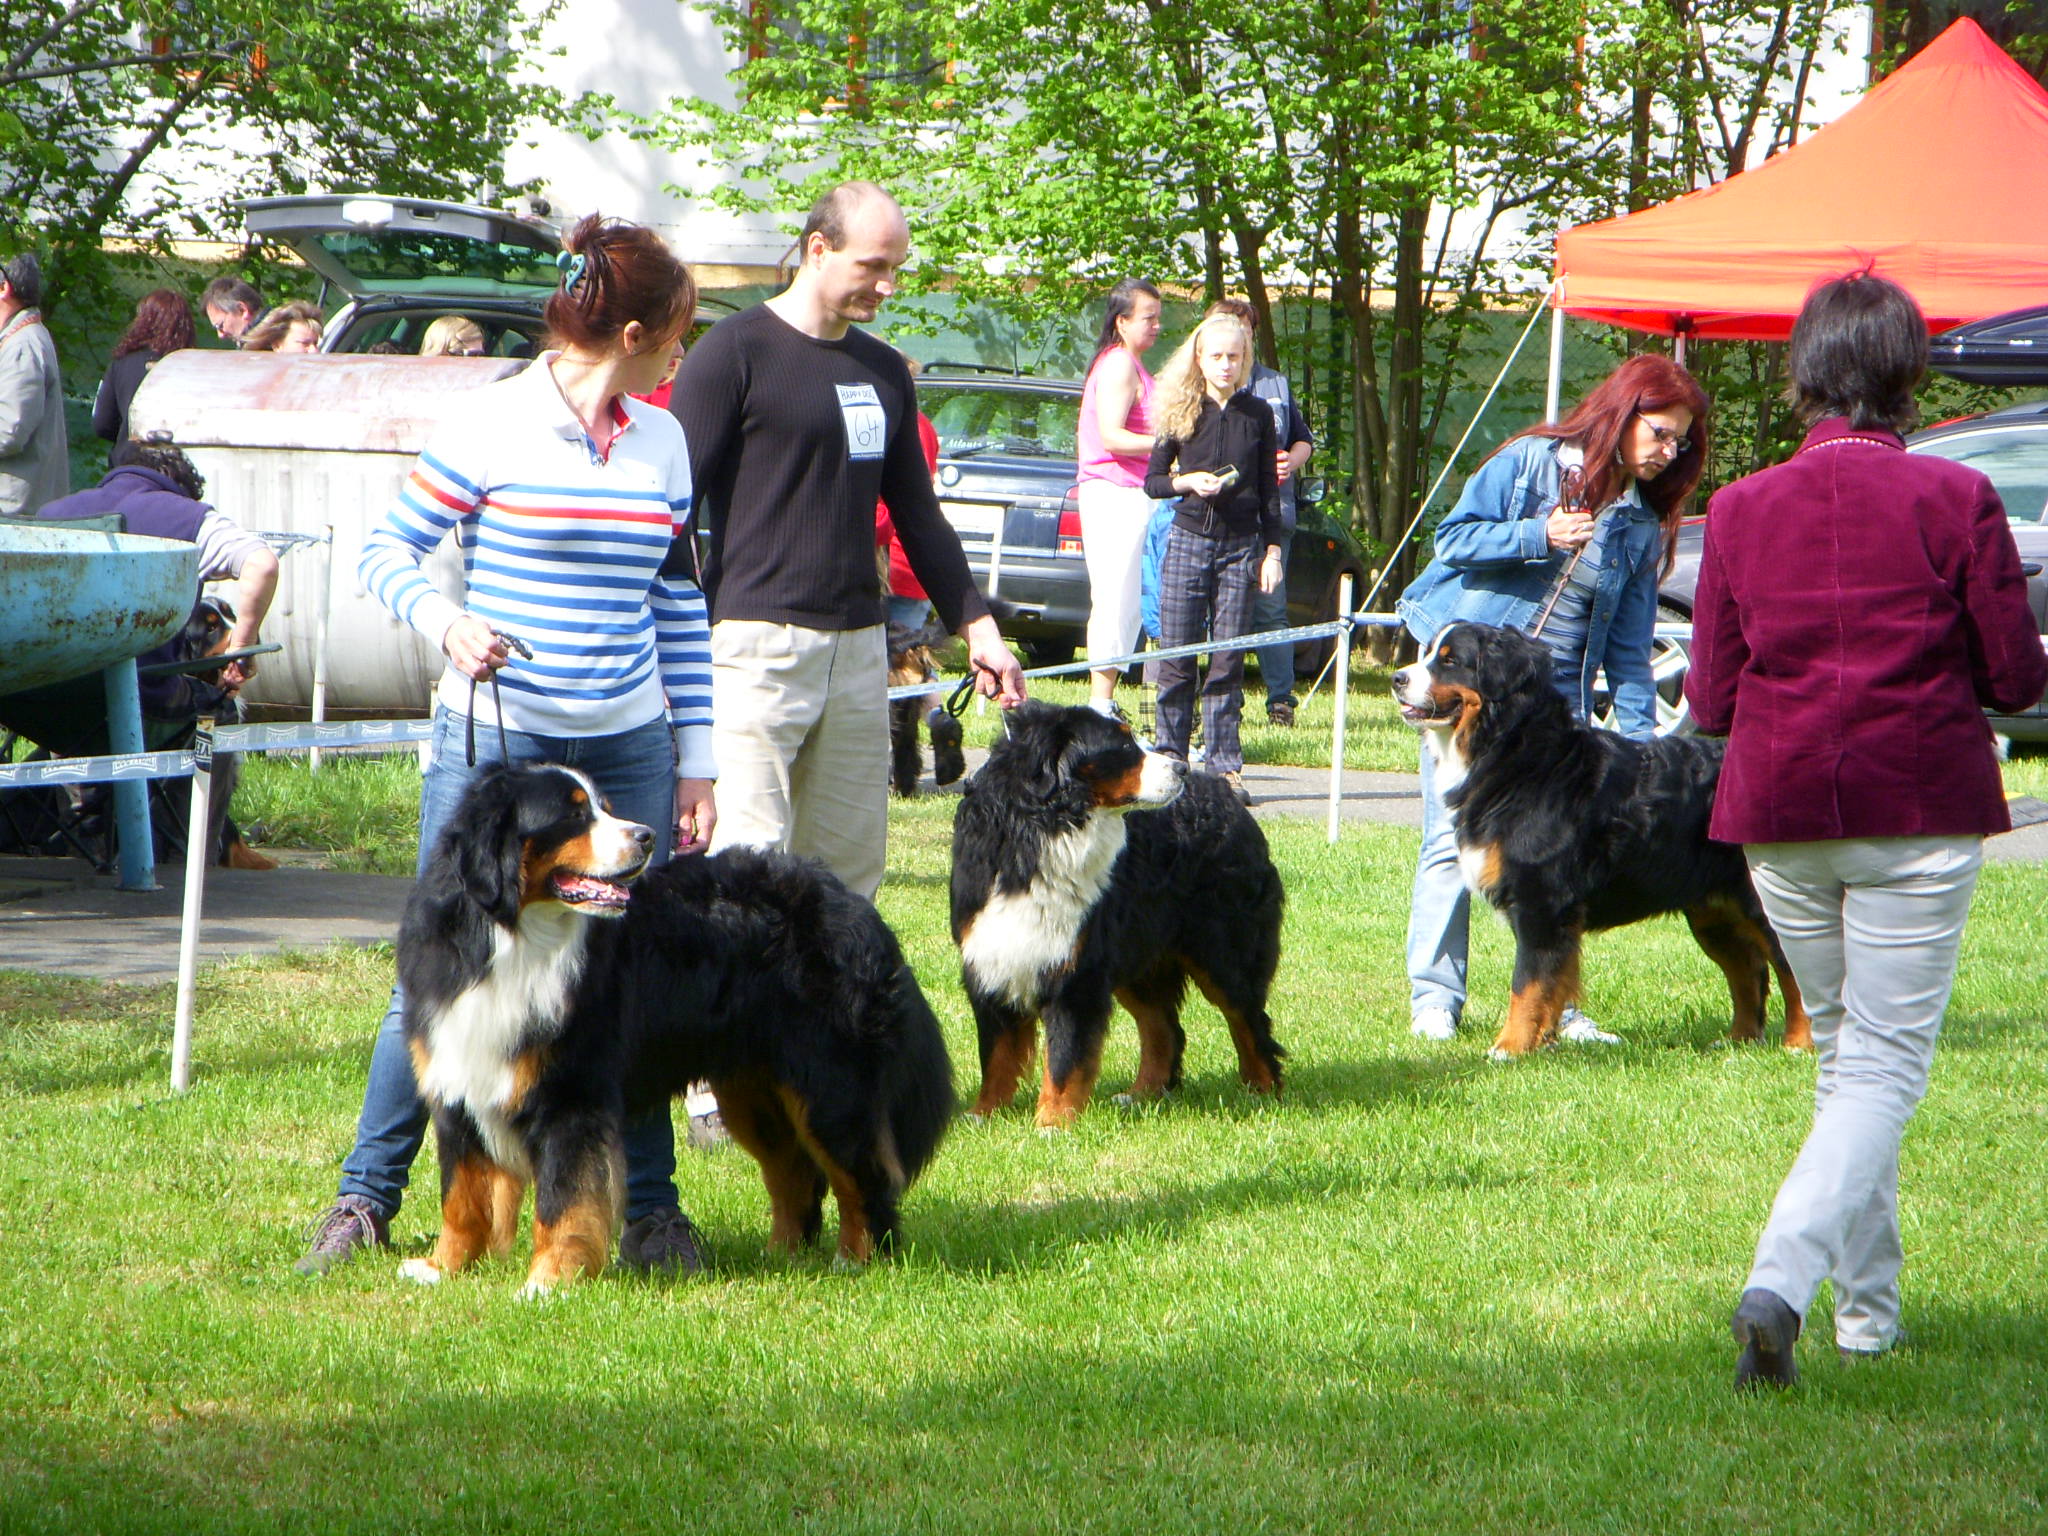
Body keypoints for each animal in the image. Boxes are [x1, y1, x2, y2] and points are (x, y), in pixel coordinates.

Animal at [391, 765, 950, 1294]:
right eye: (573, 814)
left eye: (604, 806)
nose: (646, 835)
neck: (511, 940)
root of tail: (850, 903)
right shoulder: (460, 1082)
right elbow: (462, 1197)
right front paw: (442, 1267)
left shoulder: (570, 1097)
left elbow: (563, 1203)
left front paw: (549, 1282)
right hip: (755, 1091)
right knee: (795, 1173)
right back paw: (783, 1257)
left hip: (830, 1086)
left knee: (865, 1177)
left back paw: (858, 1259)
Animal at [950, 700, 1286, 1130]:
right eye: (1124, 747)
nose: (1181, 768)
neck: (1039, 835)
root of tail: (1225, 795)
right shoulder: (991, 957)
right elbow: (996, 1054)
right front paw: (983, 1114)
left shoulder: (1075, 973)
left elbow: (1063, 1059)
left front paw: (1052, 1122)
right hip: (1140, 958)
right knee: (1164, 1028)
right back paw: (1143, 1093)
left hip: (1224, 954)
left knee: (1248, 1020)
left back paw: (1262, 1090)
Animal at [1392, 618, 1810, 1064]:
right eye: (1427, 654)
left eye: (1450, 660)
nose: (1397, 678)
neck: (1516, 754)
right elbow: (1552, 983)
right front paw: (1544, 1043)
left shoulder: (1542, 904)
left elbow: (1526, 984)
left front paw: (1510, 1047)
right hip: (1712, 913)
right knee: (1748, 969)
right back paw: (1739, 1039)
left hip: (1759, 901)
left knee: (1792, 970)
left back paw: (1798, 1043)